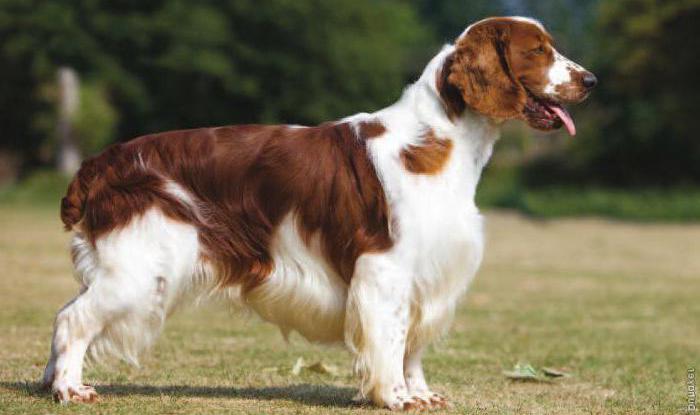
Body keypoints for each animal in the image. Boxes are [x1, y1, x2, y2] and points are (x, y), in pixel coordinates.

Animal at [41, 15, 592, 410]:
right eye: (538, 51)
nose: (591, 79)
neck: (441, 141)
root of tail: (101, 162)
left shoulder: (428, 273)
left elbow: (413, 343)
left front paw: (420, 393)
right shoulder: (386, 268)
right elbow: (392, 338)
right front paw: (396, 397)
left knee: (67, 313)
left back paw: (49, 382)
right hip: (139, 268)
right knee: (72, 319)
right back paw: (70, 389)